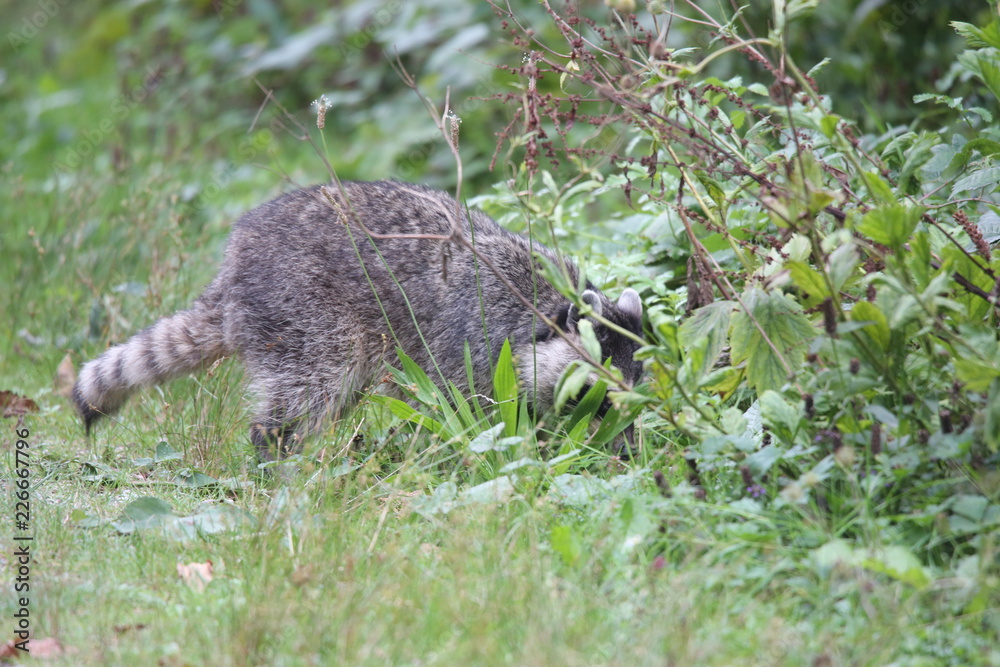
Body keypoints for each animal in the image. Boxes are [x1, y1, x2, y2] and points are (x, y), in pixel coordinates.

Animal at [73, 181, 644, 459]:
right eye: (600, 391)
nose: (630, 451)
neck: (545, 307)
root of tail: (233, 267)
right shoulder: (472, 340)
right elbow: (466, 412)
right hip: (303, 309)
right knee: (312, 387)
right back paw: (278, 452)